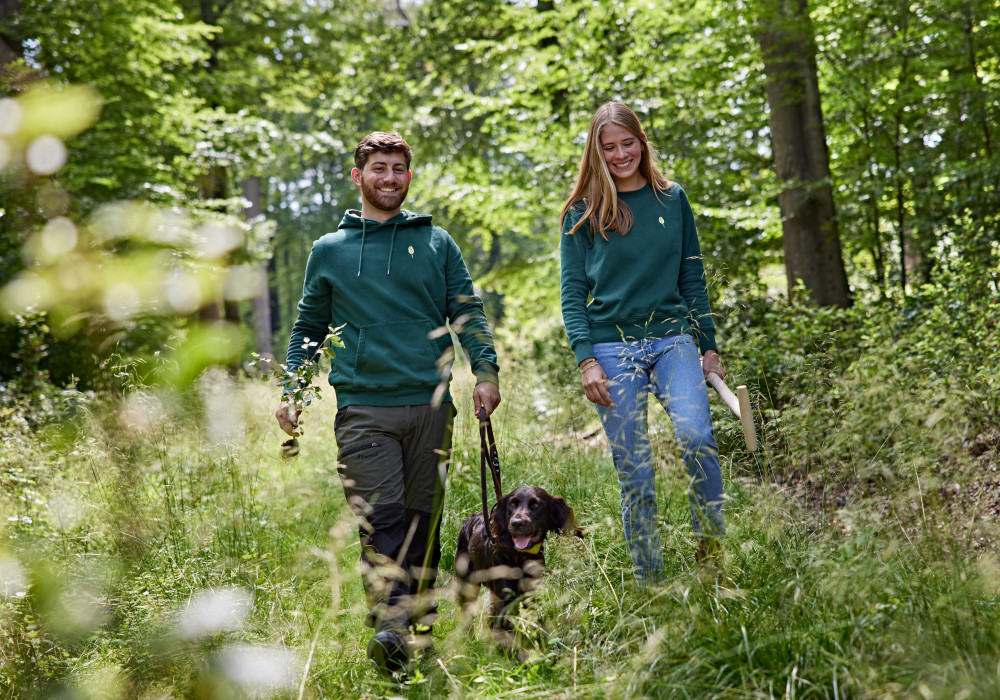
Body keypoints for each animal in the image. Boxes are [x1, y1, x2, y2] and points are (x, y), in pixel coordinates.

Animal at [454, 486, 580, 628]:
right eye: (512, 504)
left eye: (536, 505)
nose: (517, 523)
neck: (521, 556)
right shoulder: (505, 596)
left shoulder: (531, 591)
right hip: (466, 584)